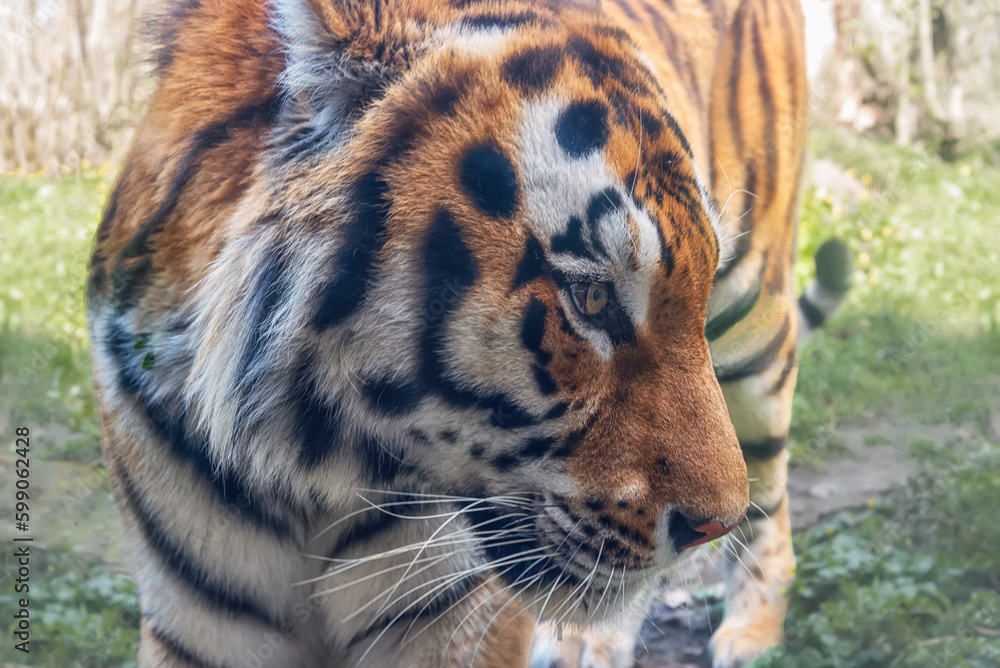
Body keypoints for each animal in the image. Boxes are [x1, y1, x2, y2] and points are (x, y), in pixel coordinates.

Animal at [85, 0, 851, 666]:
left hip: (756, 319)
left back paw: (752, 630)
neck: (301, 466)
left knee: (772, 488)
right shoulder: (197, 628)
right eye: (591, 297)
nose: (706, 528)